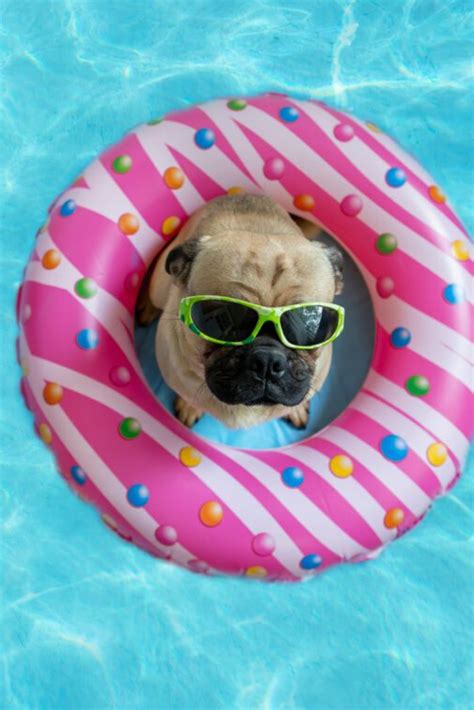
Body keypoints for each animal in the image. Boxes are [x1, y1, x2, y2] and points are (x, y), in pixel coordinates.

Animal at [135, 192, 342, 432]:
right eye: (226, 323)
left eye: (311, 324)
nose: (268, 360)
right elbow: (189, 395)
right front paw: (190, 406)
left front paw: (296, 409)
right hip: (159, 285)